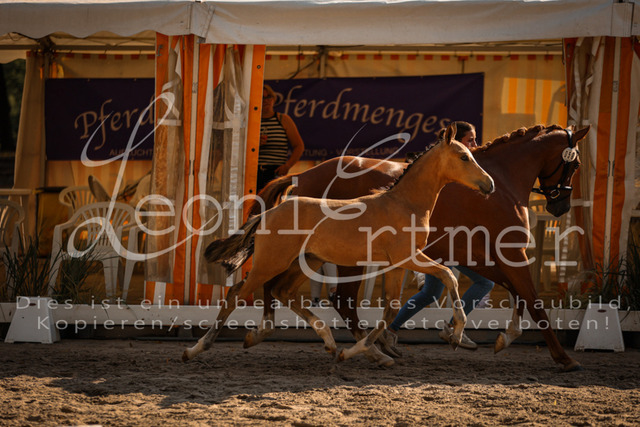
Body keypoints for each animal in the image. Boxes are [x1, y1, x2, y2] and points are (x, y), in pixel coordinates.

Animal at [182, 124, 495, 363]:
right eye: (464, 156)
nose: (489, 184)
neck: (405, 204)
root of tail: (270, 212)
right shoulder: (410, 258)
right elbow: (448, 276)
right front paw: (456, 335)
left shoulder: (396, 265)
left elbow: (390, 309)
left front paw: (358, 351)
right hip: (271, 262)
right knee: (237, 292)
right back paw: (195, 348)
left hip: (306, 261)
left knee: (282, 291)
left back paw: (329, 343)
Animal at [244, 124, 589, 372]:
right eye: (575, 165)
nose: (560, 205)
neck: (501, 186)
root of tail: (301, 175)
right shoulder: (505, 253)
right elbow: (532, 300)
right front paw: (563, 358)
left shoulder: (479, 257)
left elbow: (516, 294)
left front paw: (498, 337)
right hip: (340, 258)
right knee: (337, 298)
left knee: (285, 288)